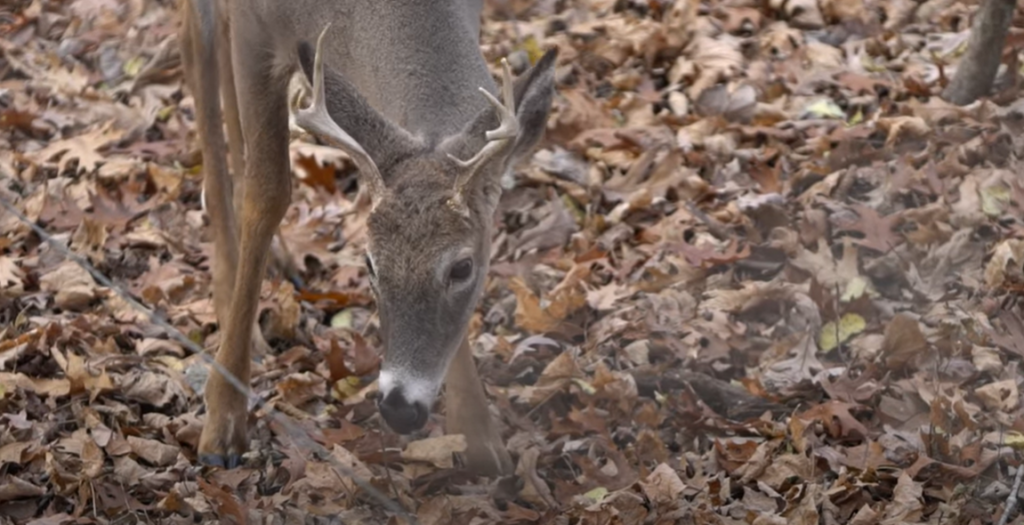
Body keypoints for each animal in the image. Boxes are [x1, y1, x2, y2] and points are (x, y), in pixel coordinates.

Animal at [180, 0, 557, 476]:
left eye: (463, 266)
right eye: (369, 263)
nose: (399, 407)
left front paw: (479, 438)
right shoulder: (256, 26)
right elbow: (267, 195)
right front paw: (223, 423)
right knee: (198, 52)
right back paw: (227, 291)